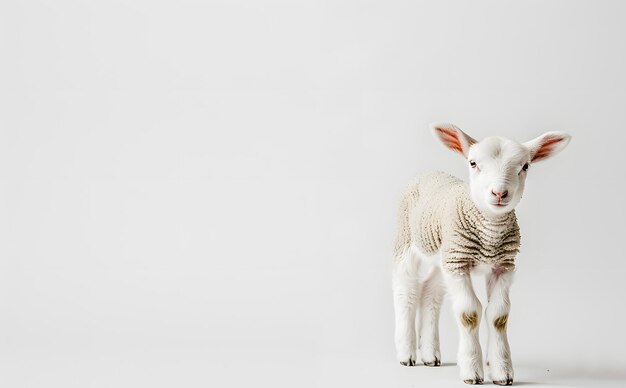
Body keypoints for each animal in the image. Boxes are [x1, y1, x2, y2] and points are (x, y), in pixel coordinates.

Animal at [392, 122, 568, 384]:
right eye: (473, 163)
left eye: (525, 166)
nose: (499, 193)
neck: (489, 236)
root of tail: (429, 173)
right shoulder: (459, 264)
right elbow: (469, 313)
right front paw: (472, 371)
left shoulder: (502, 266)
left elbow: (498, 316)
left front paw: (501, 371)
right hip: (407, 242)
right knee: (406, 290)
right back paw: (406, 353)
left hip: (443, 257)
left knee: (430, 293)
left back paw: (431, 355)